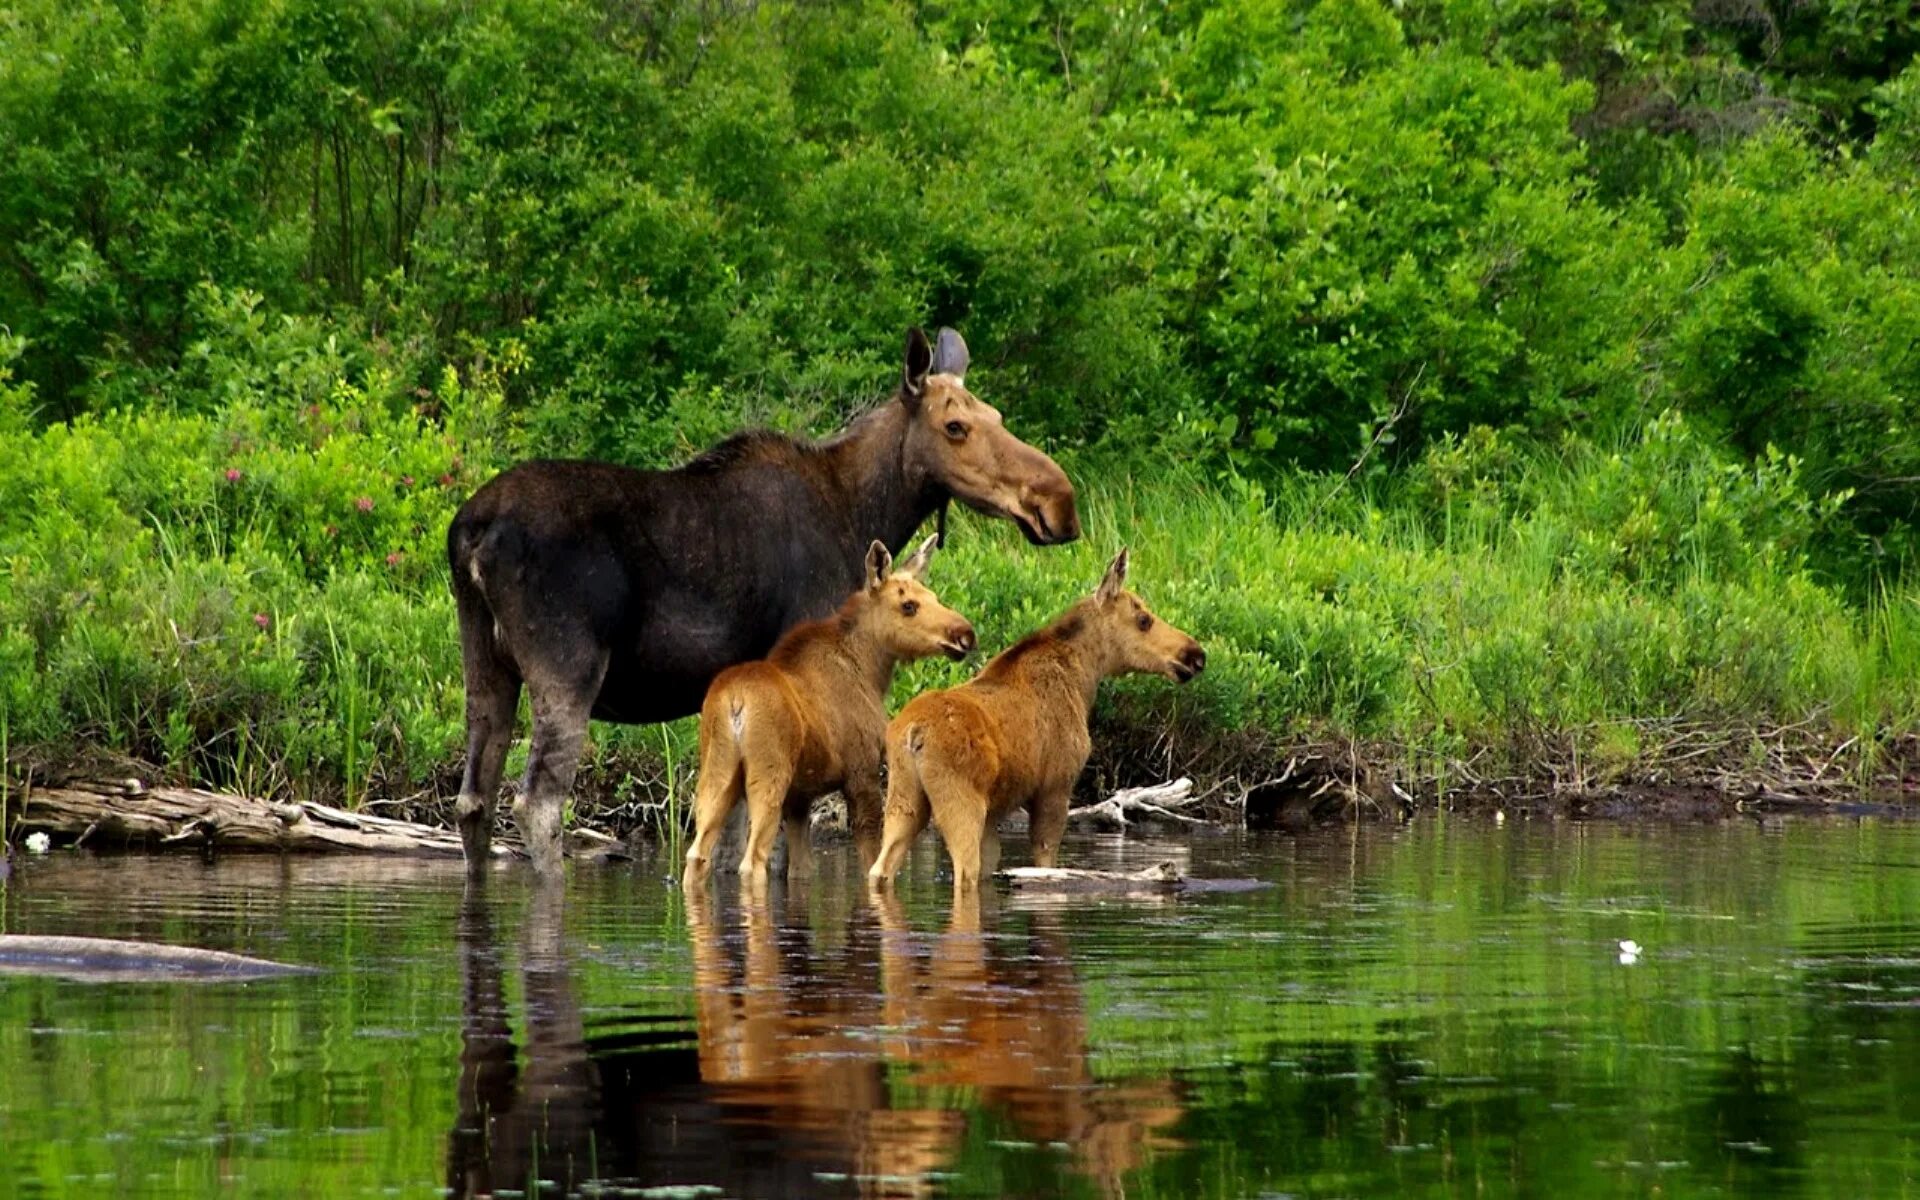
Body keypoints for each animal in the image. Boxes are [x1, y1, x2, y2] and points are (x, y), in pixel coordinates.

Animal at [683, 537, 975, 883]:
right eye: (908, 605)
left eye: (933, 597)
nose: (965, 634)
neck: (872, 671)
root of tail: (735, 701)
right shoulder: (862, 771)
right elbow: (870, 858)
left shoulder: (799, 797)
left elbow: (801, 870)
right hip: (767, 775)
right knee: (751, 862)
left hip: (716, 772)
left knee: (697, 853)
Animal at [867, 549, 1198, 894]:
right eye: (1144, 619)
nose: (1195, 654)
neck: (1084, 678)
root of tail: (914, 733)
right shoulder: (1056, 786)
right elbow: (1044, 860)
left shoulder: (995, 812)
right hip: (960, 801)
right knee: (963, 871)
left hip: (903, 798)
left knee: (880, 868)